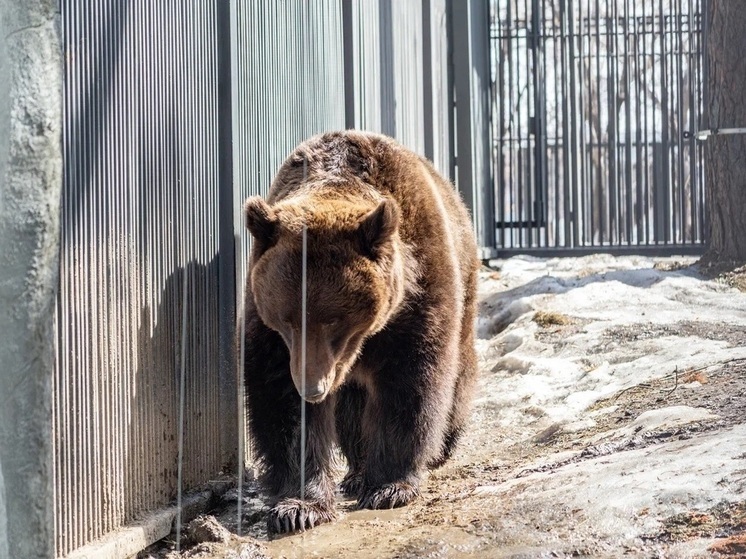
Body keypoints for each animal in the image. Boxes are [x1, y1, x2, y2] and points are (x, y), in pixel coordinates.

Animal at [244, 130, 476, 532]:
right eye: (287, 318)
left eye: (333, 318)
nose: (313, 388)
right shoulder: (272, 334)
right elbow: (282, 404)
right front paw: (299, 506)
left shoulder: (415, 301)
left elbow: (410, 383)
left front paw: (390, 486)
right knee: (351, 406)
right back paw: (356, 471)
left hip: (464, 281)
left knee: (459, 369)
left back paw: (441, 446)